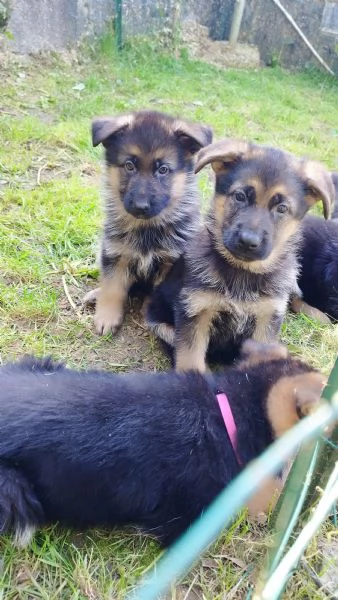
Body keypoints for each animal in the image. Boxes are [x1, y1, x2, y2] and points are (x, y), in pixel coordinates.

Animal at [84, 110, 211, 336]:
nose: (141, 206)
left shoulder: (170, 262)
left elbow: (155, 292)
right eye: (129, 166)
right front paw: (106, 316)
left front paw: (149, 312)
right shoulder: (115, 253)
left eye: (163, 170)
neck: (147, 228)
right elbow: (112, 287)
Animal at [147, 139, 334, 370]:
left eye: (282, 208)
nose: (248, 241)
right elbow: (191, 360)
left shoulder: (267, 318)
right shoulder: (195, 313)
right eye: (240, 196)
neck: (243, 272)